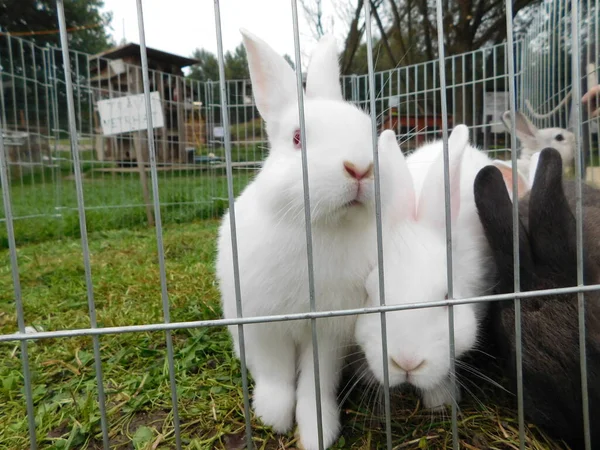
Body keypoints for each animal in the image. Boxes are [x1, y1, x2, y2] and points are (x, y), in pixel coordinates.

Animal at [218, 29, 400, 448]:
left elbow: (316, 385)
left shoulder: (330, 333)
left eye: (367, 130)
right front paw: (273, 417)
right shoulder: (264, 324)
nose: (360, 168)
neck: (321, 226)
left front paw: (318, 431)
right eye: (297, 138)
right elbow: (276, 376)